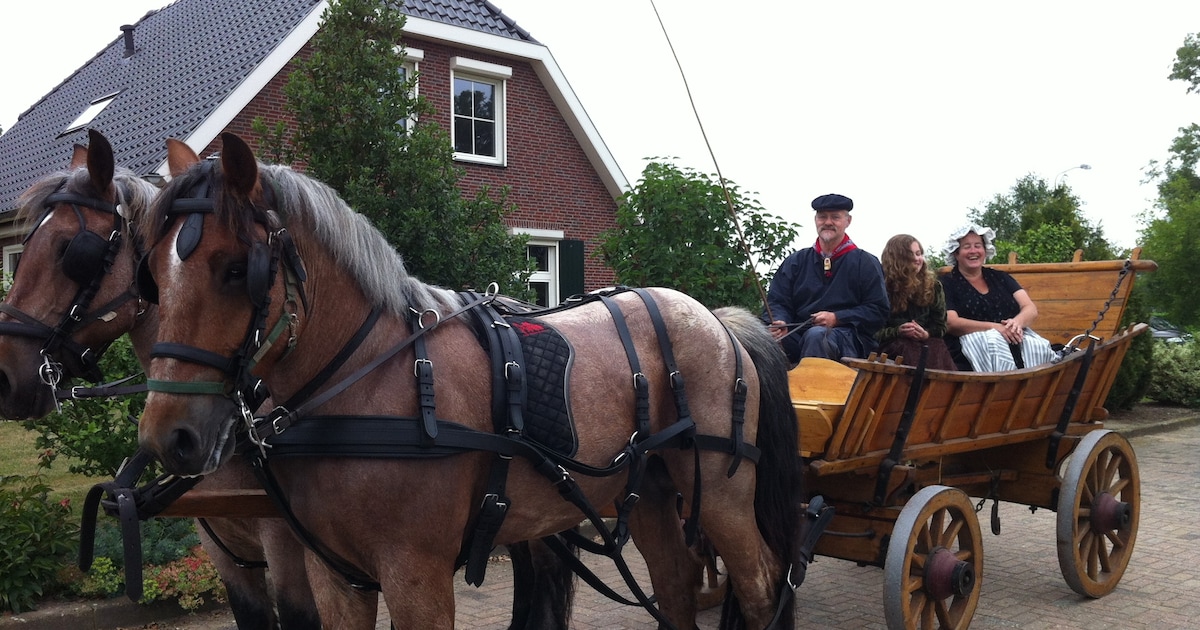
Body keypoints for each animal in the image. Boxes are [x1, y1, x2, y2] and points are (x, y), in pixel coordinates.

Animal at [132, 131, 804, 629]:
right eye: (153, 280)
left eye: (235, 269)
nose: (170, 437)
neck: (371, 384)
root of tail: (717, 320)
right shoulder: (338, 576)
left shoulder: (416, 574)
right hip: (648, 496)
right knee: (676, 584)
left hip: (722, 496)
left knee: (764, 586)